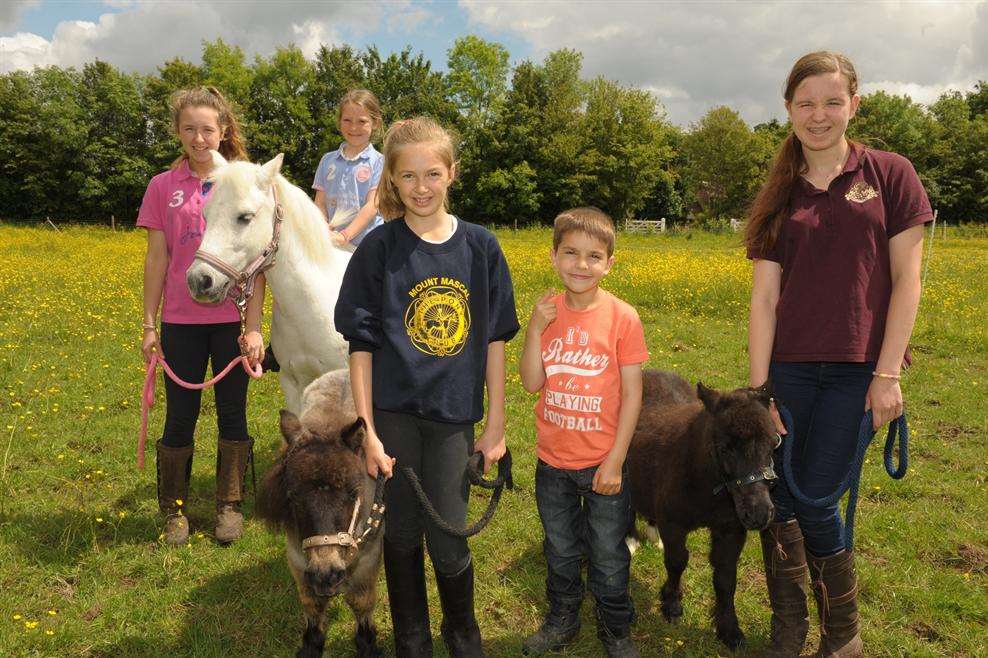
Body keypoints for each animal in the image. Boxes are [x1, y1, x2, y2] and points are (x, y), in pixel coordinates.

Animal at [256, 368, 384, 656]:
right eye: (291, 496)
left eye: (353, 493)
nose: (327, 575)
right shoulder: (297, 557)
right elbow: (311, 603)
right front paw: (311, 645)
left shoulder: (369, 557)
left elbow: (361, 601)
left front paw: (367, 643)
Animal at [624, 372, 780, 648]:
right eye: (724, 448)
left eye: (773, 444)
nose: (759, 514)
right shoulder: (674, 524)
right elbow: (677, 562)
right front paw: (671, 604)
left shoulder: (731, 529)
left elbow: (725, 577)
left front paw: (729, 630)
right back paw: (631, 540)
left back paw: (654, 535)